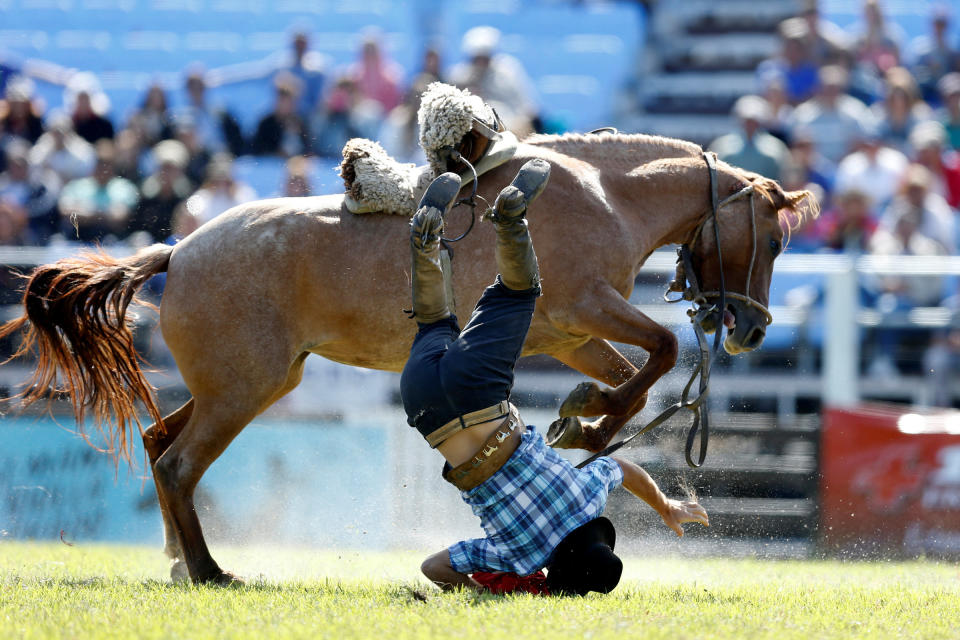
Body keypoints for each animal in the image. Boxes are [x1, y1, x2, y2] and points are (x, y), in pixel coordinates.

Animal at [1, 132, 816, 584]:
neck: (605, 193)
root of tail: (179, 249)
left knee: (158, 442)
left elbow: (634, 384)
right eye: (772, 240)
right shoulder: (584, 310)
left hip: (248, 383)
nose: (751, 330)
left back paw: (177, 558)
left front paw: (588, 423)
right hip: (243, 391)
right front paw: (589, 422)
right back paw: (207, 570)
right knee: (177, 464)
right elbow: (665, 349)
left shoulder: (571, 335)